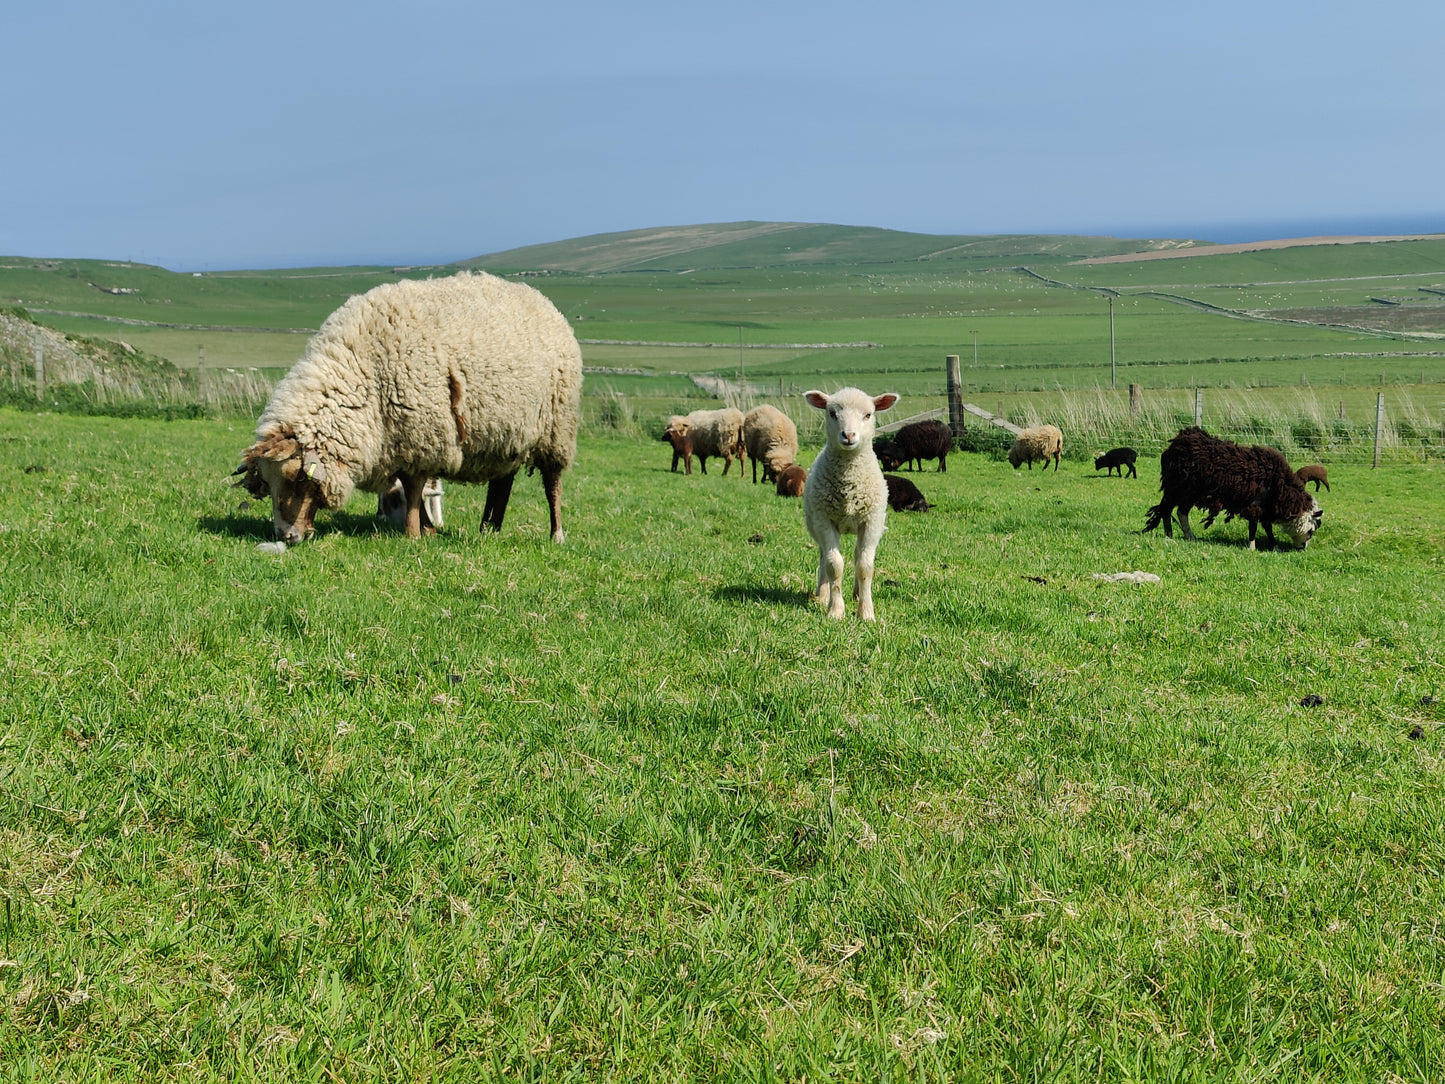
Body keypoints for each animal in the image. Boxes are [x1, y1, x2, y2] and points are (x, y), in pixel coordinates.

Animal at [809, 387, 895, 618]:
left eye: (868, 414)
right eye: (832, 413)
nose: (848, 435)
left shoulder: (871, 522)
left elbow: (865, 567)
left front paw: (866, 613)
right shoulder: (824, 520)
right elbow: (834, 565)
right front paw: (835, 610)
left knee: (857, 556)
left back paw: (857, 594)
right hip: (817, 526)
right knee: (823, 557)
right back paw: (822, 595)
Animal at [1144, 427, 1323, 552]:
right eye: (1311, 531)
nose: (1302, 549)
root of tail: (1177, 441)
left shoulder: (1265, 508)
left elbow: (1267, 528)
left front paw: (1274, 546)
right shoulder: (1255, 505)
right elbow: (1254, 527)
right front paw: (1252, 547)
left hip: (1189, 493)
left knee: (1180, 512)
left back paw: (1189, 537)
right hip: (1176, 489)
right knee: (1166, 510)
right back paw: (1170, 536)